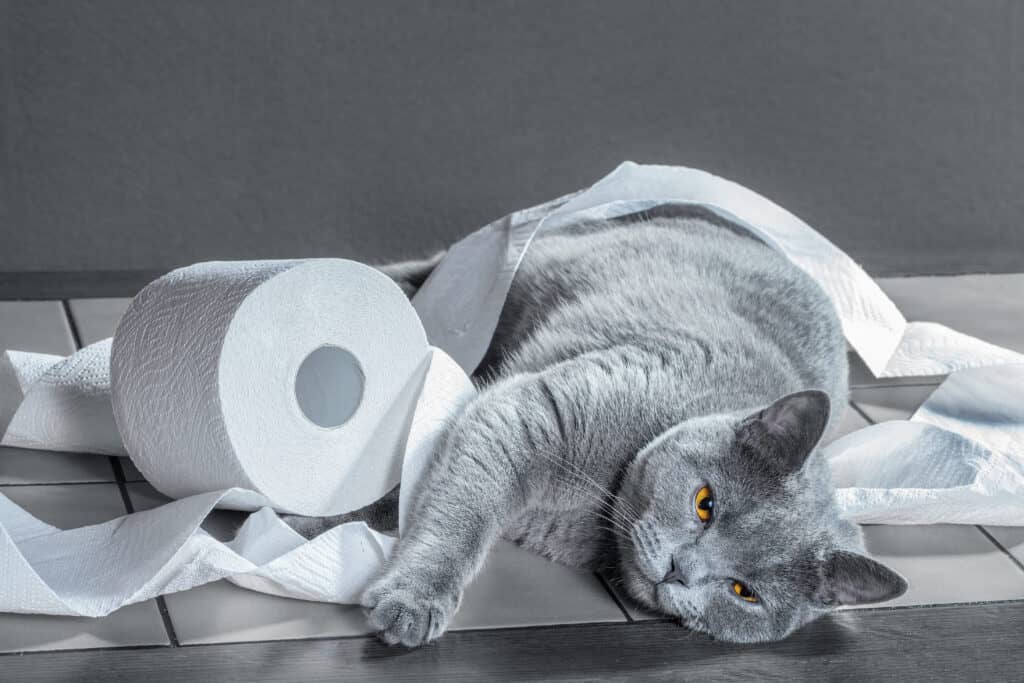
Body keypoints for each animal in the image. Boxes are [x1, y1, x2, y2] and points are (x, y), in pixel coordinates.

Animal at [284, 206, 909, 647]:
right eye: (705, 504)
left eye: (744, 592)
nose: (680, 571)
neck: (598, 519)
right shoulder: (530, 413)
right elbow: (455, 513)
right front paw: (410, 599)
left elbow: (409, 497)